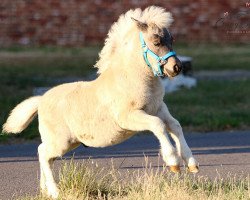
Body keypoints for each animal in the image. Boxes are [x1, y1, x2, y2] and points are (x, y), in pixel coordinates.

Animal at [1, 6, 198, 198]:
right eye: (156, 42)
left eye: (172, 40)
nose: (177, 67)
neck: (131, 78)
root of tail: (41, 100)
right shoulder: (129, 117)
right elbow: (158, 126)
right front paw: (173, 163)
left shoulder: (158, 108)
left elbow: (174, 125)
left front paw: (191, 164)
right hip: (60, 142)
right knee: (43, 153)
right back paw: (55, 192)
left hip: (69, 142)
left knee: (45, 155)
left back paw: (45, 190)